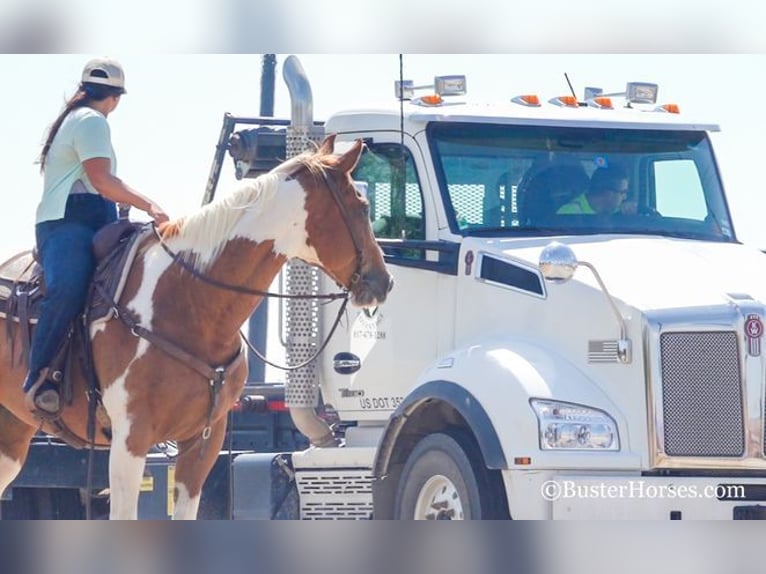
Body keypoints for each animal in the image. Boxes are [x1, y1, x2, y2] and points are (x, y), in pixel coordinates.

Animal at [0, 135, 392, 520]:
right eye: (362, 206)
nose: (383, 281)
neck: (190, 302)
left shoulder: (203, 441)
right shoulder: (131, 438)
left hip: (13, 435)